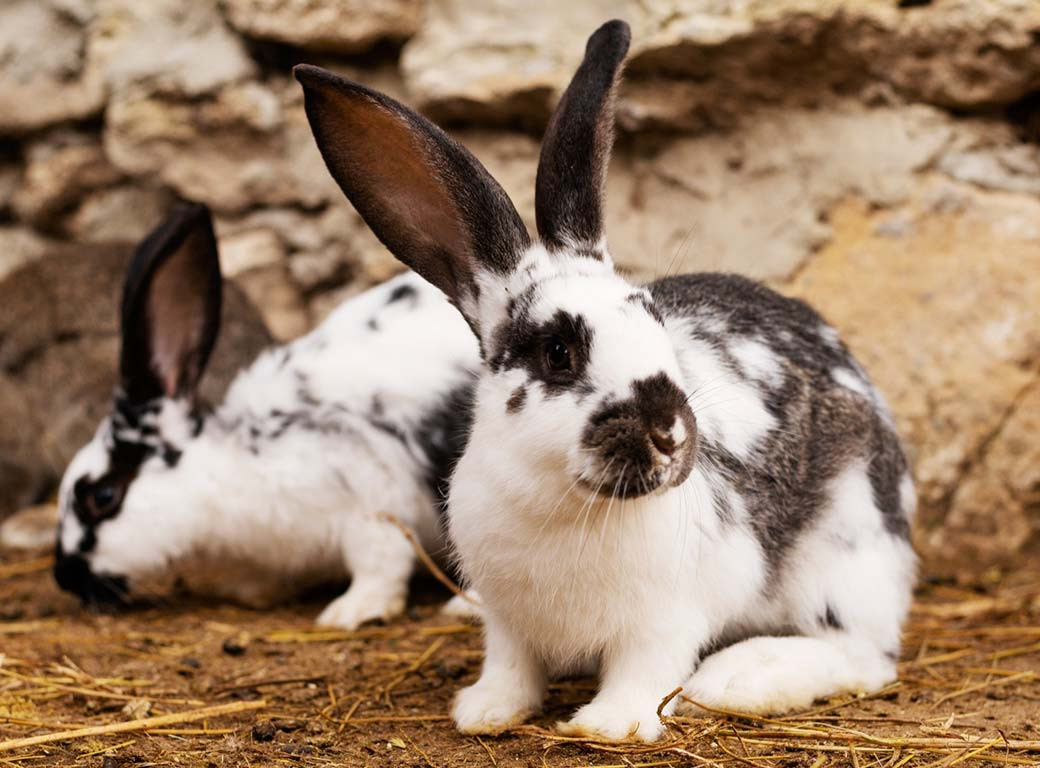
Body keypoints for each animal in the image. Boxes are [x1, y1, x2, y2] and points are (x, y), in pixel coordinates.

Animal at [52, 203, 478, 628]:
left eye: (103, 496)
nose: (64, 576)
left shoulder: (371, 498)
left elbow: (381, 563)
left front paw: (350, 611)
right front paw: (250, 592)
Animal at [297, 16, 915, 736]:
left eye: (654, 319)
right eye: (558, 351)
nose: (671, 433)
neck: (562, 501)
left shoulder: (665, 619)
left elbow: (644, 671)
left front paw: (605, 725)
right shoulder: (507, 621)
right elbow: (510, 667)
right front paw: (485, 712)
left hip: (845, 553)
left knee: (863, 655)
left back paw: (736, 680)